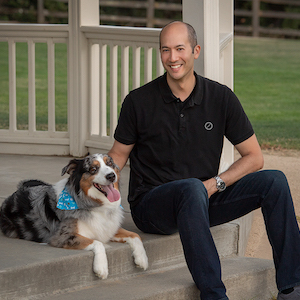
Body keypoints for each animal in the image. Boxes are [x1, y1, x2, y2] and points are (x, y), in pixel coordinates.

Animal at [0, 155, 148, 278]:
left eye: (109, 163)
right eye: (93, 169)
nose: (111, 176)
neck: (92, 203)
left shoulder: (107, 228)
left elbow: (135, 235)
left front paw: (142, 258)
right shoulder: (61, 237)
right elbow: (98, 243)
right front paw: (101, 268)